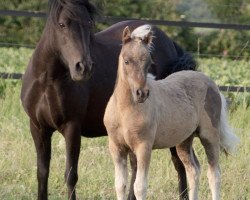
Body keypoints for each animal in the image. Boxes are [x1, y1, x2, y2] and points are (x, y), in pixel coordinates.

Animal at [21, 0, 196, 200]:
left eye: (89, 23)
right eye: (62, 24)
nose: (83, 67)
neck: (48, 80)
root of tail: (171, 45)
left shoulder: (72, 128)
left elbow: (71, 175)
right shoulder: (38, 128)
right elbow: (42, 172)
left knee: (178, 163)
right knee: (139, 166)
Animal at [103, 25, 238, 200]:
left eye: (149, 62)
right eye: (126, 61)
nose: (142, 93)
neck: (124, 110)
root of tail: (211, 83)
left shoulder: (143, 147)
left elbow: (139, 187)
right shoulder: (116, 147)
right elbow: (120, 185)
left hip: (209, 136)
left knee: (214, 174)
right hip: (184, 141)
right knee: (194, 170)